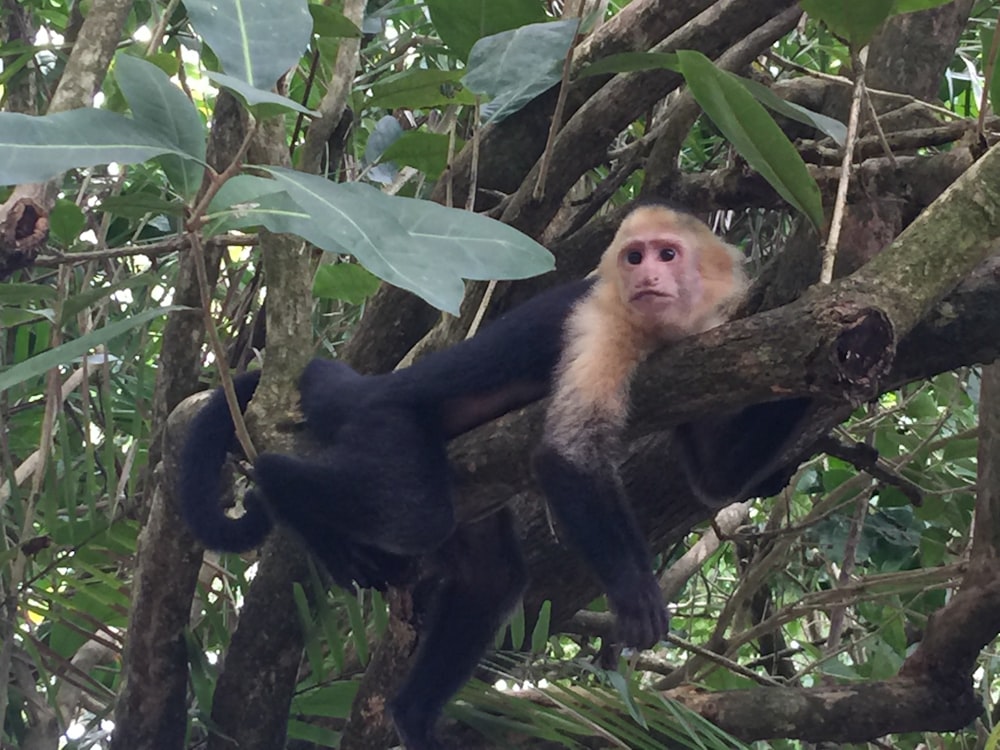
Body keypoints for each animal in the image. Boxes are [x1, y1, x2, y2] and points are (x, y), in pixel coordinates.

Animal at [178, 201, 804, 750]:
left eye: (667, 254)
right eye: (635, 256)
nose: (647, 274)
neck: (650, 329)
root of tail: (377, 385)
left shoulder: (694, 346)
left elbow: (714, 478)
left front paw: (823, 358)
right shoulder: (600, 322)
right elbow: (564, 456)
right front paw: (635, 592)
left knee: (492, 575)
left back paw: (412, 714)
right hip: (385, 426)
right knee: (415, 517)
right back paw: (281, 489)